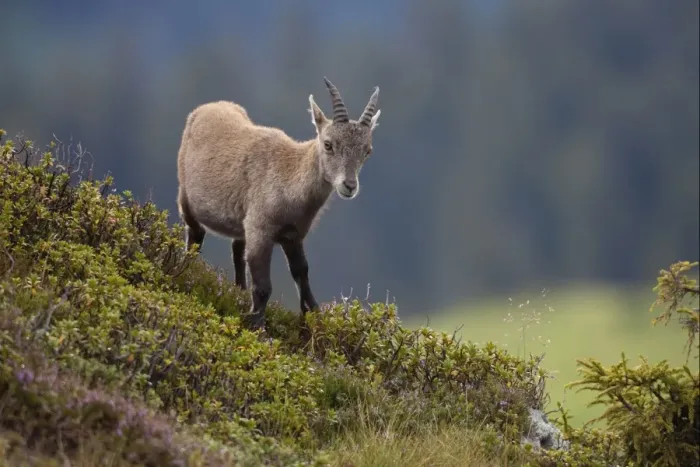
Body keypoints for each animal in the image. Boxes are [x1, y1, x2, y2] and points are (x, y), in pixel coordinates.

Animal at [176, 77, 381, 329]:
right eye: (328, 144)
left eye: (367, 150)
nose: (349, 185)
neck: (288, 177)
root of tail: (205, 108)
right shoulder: (261, 231)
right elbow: (264, 286)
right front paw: (256, 325)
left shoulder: (293, 235)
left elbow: (301, 271)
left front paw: (313, 315)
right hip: (186, 198)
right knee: (196, 236)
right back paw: (188, 270)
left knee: (237, 249)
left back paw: (238, 291)